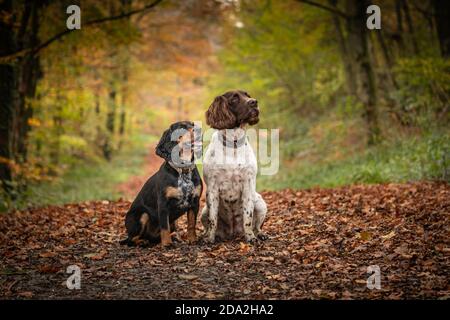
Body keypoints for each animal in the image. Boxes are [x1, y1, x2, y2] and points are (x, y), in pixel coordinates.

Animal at [200, 90, 268, 242]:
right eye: (234, 98)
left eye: (248, 95)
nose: (254, 102)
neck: (233, 144)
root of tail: (233, 232)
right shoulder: (212, 188)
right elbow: (213, 219)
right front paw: (209, 238)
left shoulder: (248, 185)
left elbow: (248, 217)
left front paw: (250, 237)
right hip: (203, 211)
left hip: (260, 203)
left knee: (257, 226)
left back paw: (260, 234)